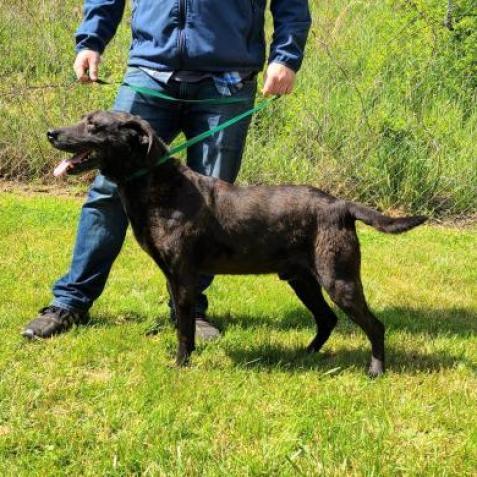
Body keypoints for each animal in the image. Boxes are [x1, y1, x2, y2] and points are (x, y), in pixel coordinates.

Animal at [47, 111, 428, 376]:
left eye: (94, 125)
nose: (52, 133)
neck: (159, 187)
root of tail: (341, 205)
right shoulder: (172, 276)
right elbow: (181, 322)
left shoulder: (183, 276)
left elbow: (184, 328)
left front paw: (180, 365)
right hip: (303, 279)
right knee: (327, 319)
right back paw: (306, 354)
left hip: (339, 278)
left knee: (374, 325)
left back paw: (376, 370)